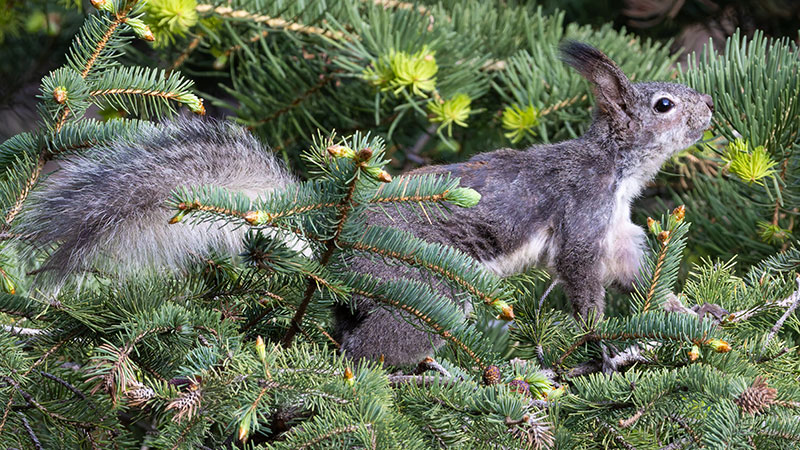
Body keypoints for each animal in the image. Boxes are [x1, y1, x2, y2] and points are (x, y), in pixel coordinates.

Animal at [16, 42, 713, 366]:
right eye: (664, 105)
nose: (710, 108)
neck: (620, 172)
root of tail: (330, 242)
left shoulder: (619, 230)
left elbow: (639, 276)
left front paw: (698, 313)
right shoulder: (585, 210)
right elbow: (582, 282)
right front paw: (601, 348)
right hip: (424, 286)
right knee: (365, 349)